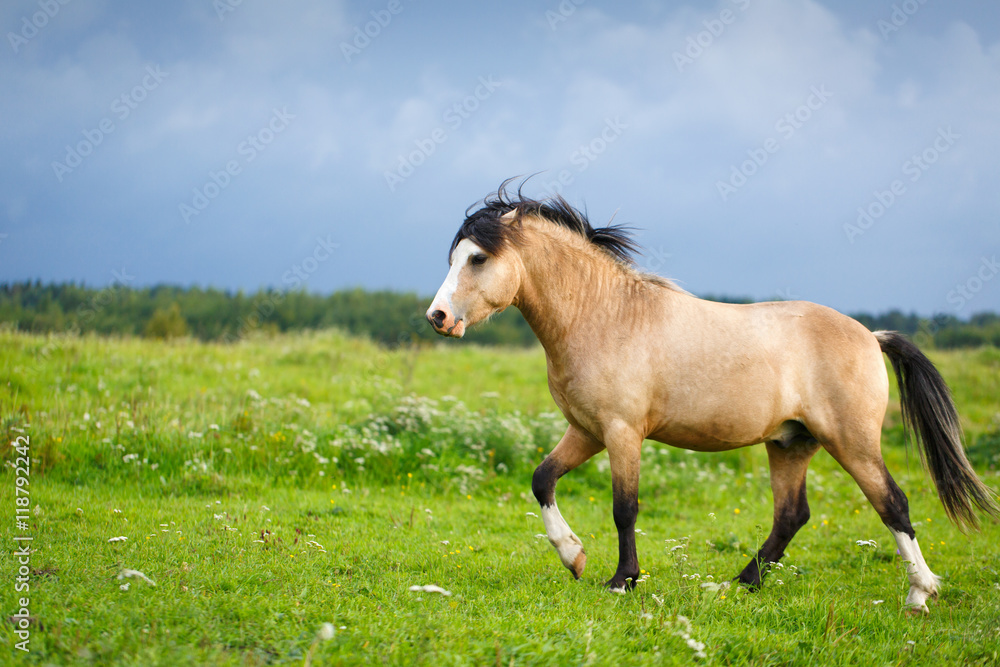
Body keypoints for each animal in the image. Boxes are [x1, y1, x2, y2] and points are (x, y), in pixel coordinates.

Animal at [425, 180, 999, 612]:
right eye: (454, 257)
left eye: (478, 258)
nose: (438, 317)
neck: (604, 316)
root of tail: (870, 336)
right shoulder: (587, 430)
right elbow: (542, 479)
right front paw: (575, 558)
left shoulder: (622, 432)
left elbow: (624, 508)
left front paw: (622, 581)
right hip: (791, 444)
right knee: (791, 516)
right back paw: (738, 584)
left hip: (851, 441)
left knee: (892, 503)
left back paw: (920, 595)